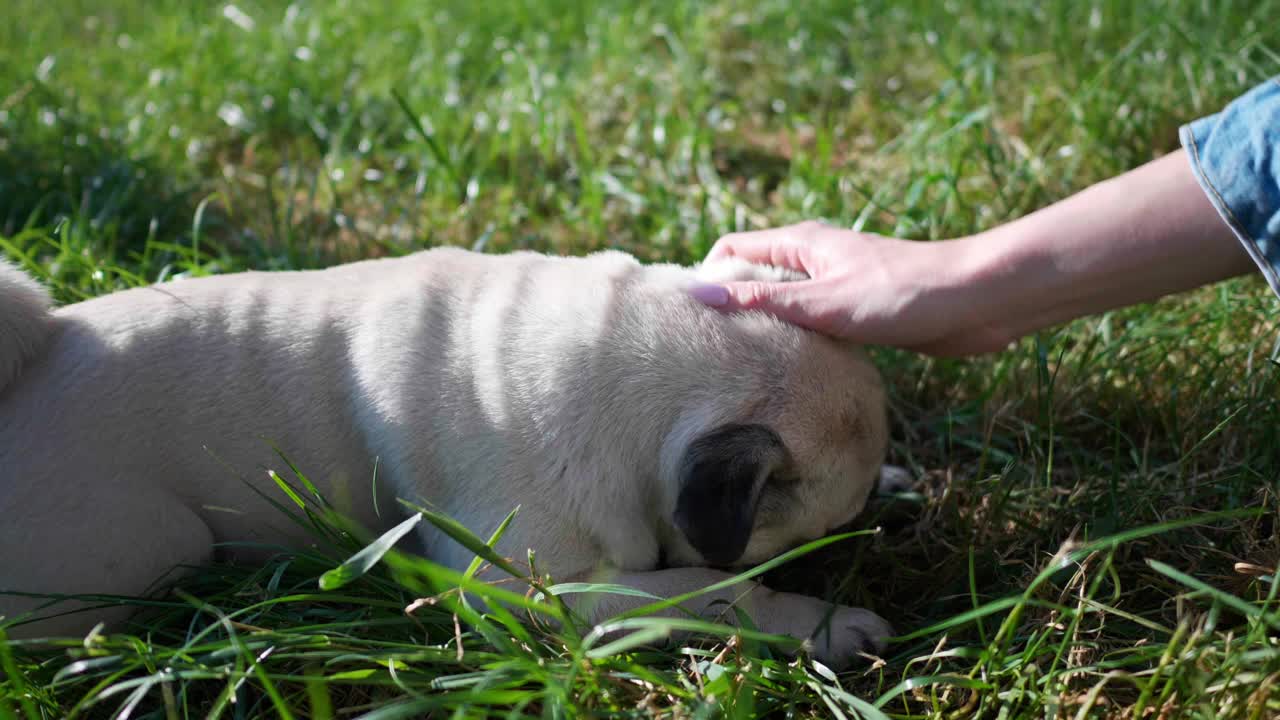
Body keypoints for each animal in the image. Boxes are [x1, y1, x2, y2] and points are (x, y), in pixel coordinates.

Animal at [0, 244, 896, 661]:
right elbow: (707, 592)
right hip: (156, 543)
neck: (625, 361)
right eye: (811, 541)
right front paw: (813, 621)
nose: (856, 545)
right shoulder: (526, 588)